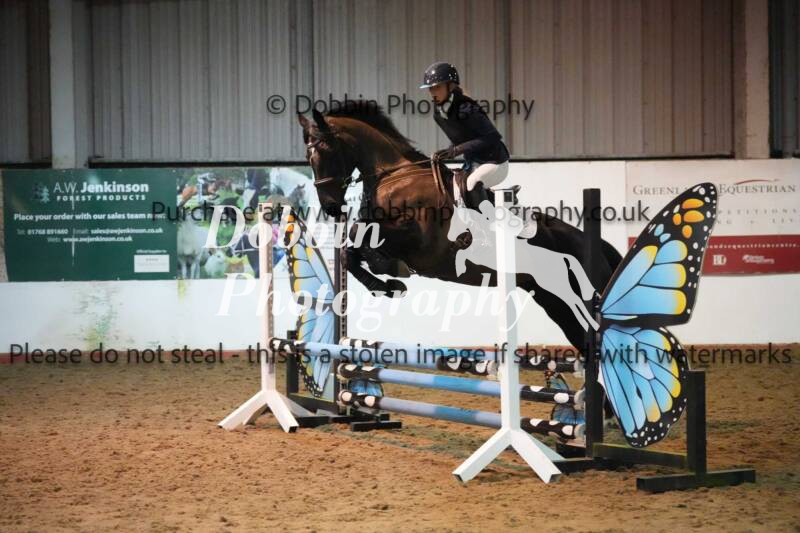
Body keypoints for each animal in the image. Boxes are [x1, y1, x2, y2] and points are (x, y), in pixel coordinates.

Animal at [296, 104, 622, 352]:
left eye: (326, 151)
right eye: (308, 158)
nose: (330, 207)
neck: (395, 175)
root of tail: (592, 243)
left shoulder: (420, 241)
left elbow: (359, 239)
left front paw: (388, 275)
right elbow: (350, 251)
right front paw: (387, 284)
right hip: (553, 300)